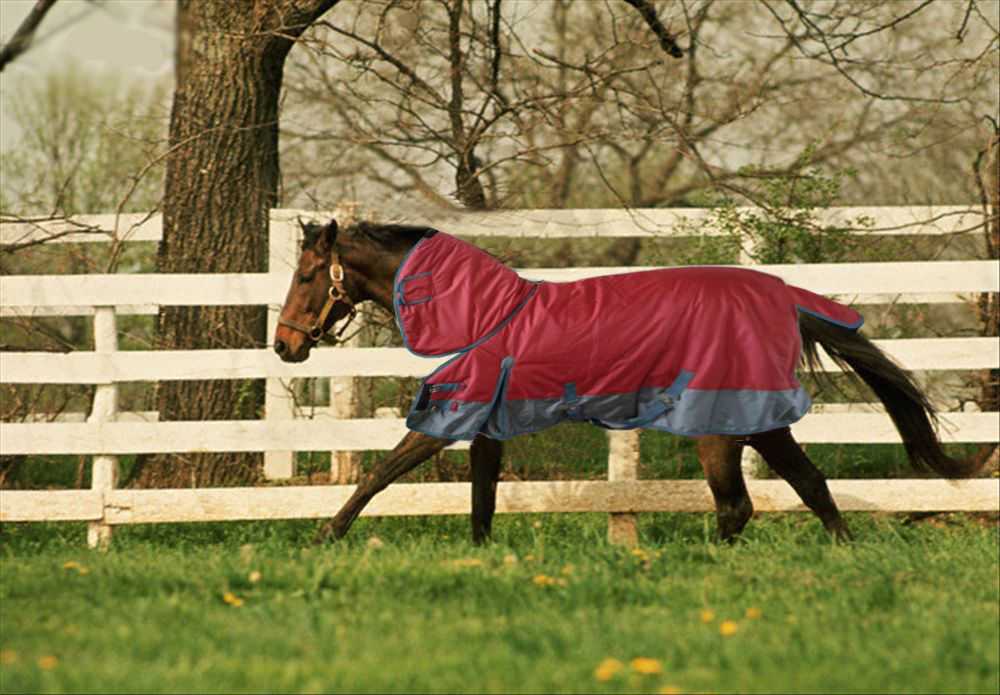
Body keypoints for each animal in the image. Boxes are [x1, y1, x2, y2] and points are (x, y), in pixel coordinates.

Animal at [274, 218, 984, 545]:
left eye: (307, 275)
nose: (285, 346)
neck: (482, 315)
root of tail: (786, 301)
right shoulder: (487, 425)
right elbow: (481, 497)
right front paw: (479, 554)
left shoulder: (452, 416)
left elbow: (380, 472)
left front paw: (323, 538)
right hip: (760, 426)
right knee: (808, 486)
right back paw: (844, 553)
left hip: (721, 430)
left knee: (738, 505)